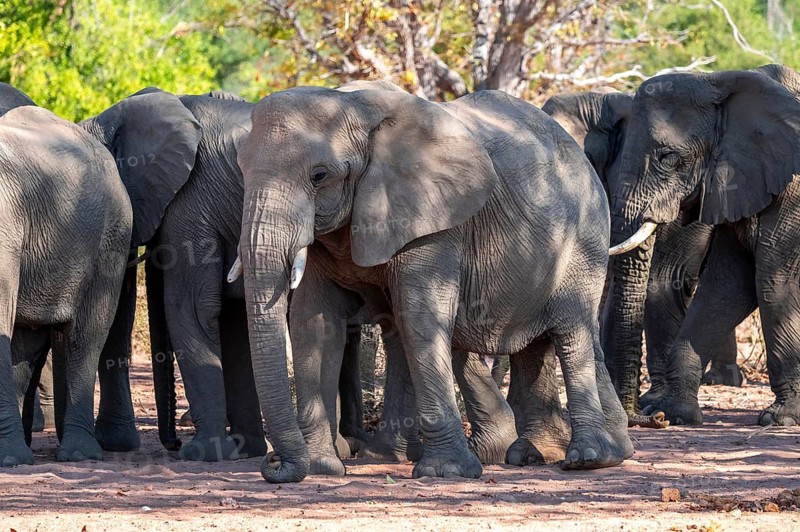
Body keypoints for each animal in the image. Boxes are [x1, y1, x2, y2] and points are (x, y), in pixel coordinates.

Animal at [233, 82, 632, 483]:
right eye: (242, 171)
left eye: (319, 175)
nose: (273, 462)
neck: (351, 103)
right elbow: (314, 322)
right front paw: (322, 468)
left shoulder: (435, 218)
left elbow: (419, 314)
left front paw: (445, 471)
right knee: (536, 341)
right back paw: (535, 453)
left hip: (585, 237)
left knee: (571, 329)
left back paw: (589, 458)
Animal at [608, 63, 800, 426]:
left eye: (668, 158)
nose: (647, 417)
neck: (721, 81)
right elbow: (726, 287)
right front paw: (676, 413)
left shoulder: (794, 193)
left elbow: (774, 283)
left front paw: (780, 419)